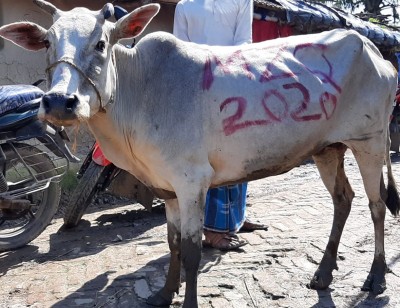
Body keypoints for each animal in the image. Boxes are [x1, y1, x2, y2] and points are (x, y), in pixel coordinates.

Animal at [1, 1, 398, 306]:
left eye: (100, 43)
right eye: (48, 42)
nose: (59, 102)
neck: (138, 92)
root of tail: (374, 50)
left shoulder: (192, 181)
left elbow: (193, 251)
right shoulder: (168, 188)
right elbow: (173, 243)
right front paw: (164, 294)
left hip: (370, 141)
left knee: (377, 205)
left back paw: (376, 277)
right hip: (328, 148)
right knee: (343, 199)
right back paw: (323, 273)